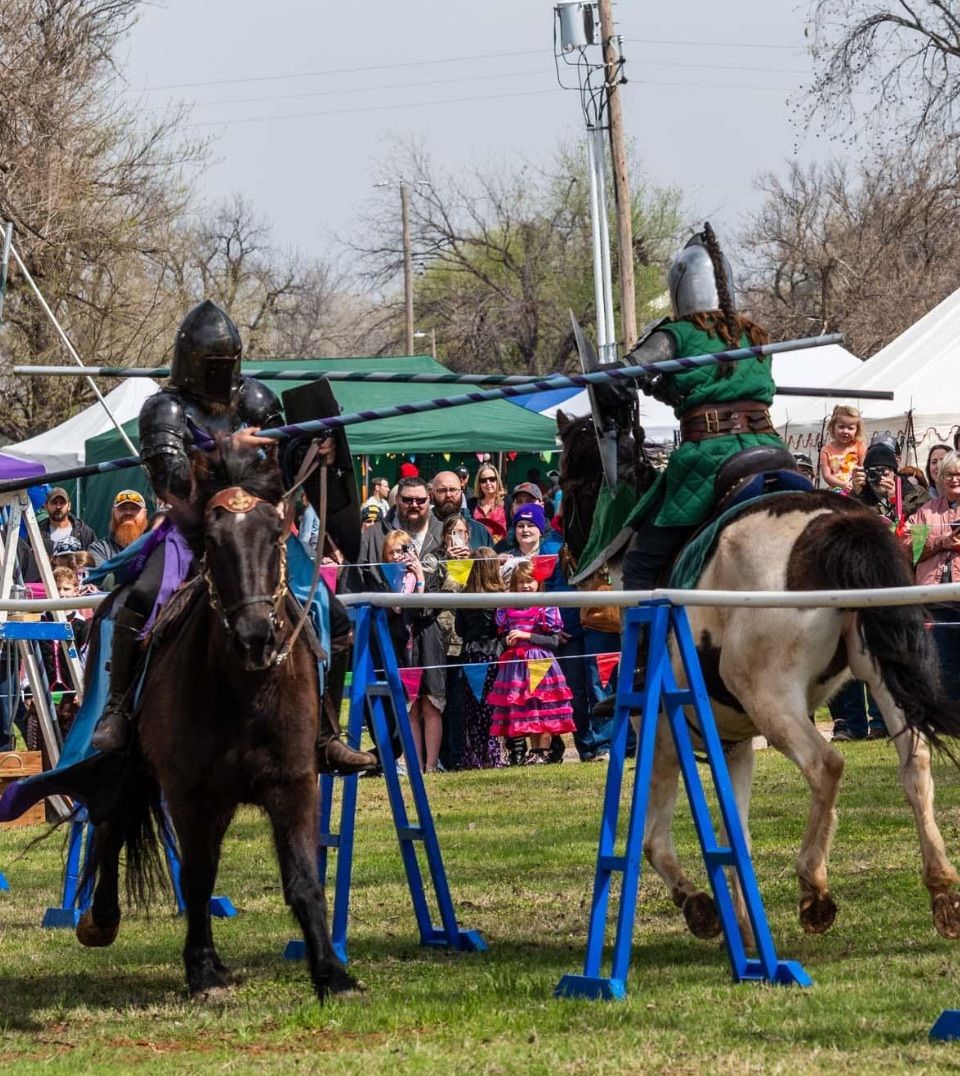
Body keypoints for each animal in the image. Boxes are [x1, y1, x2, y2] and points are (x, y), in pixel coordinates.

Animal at [76, 436, 357, 998]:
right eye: (211, 537)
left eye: (275, 534)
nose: (256, 637)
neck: (243, 689)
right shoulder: (190, 794)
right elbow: (198, 877)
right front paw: (202, 969)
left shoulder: (293, 783)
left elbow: (303, 880)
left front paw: (331, 973)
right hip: (132, 766)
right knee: (112, 823)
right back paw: (101, 919)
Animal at [559, 411, 959, 942]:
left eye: (567, 481)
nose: (571, 558)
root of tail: (835, 524)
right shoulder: (734, 744)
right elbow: (736, 835)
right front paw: (746, 927)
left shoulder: (662, 735)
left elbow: (654, 840)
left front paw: (698, 905)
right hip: (881, 674)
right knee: (915, 762)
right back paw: (942, 891)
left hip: (773, 697)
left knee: (825, 765)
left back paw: (814, 888)